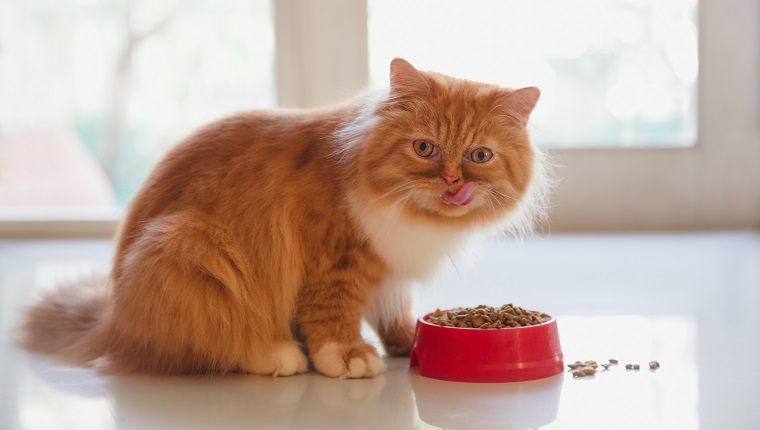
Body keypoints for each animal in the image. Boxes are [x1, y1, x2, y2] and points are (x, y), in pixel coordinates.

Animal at [20, 58, 548, 378]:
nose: (453, 182)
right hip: (193, 247)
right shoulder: (334, 265)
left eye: (480, 155)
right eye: (425, 148)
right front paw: (349, 356)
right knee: (209, 345)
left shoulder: (390, 274)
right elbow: (331, 318)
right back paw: (277, 353)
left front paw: (406, 343)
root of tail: (111, 319)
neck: (416, 218)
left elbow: (395, 313)